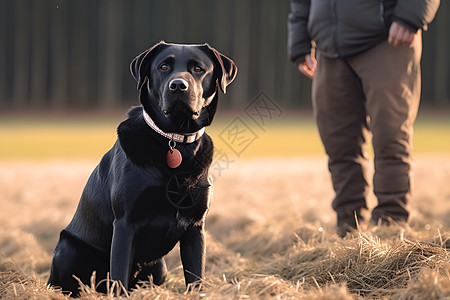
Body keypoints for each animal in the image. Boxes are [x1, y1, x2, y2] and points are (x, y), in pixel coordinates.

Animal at [48, 41, 237, 296]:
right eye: (163, 66)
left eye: (198, 69)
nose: (178, 85)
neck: (175, 140)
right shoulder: (125, 223)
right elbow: (119, 276)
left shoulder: (196, 226)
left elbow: (196, 276)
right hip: (69, 248)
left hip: (160, 267)